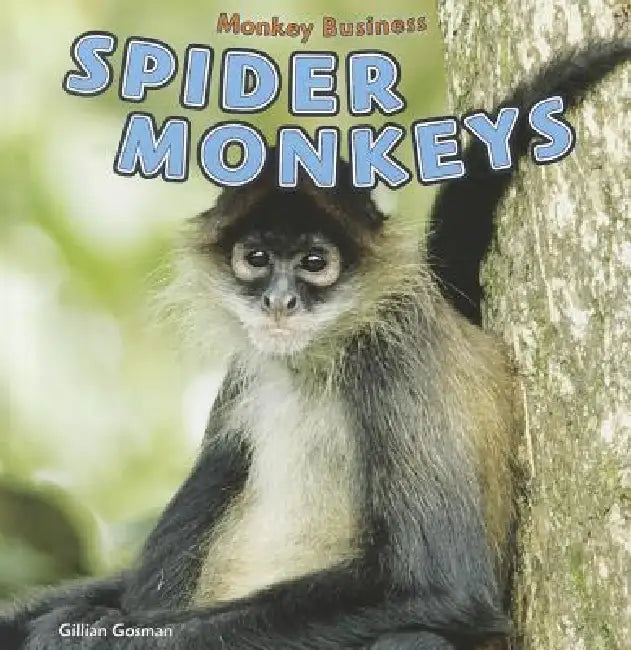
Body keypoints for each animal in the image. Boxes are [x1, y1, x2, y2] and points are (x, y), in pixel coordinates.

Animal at [1, 40, 629, 650]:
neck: (316, 360)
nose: (280, 301)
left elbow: (446, 589)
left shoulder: (396, 348)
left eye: (314, 262)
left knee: (414, 635)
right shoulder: (247, 367)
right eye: (256, 258)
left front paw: (86, 634)